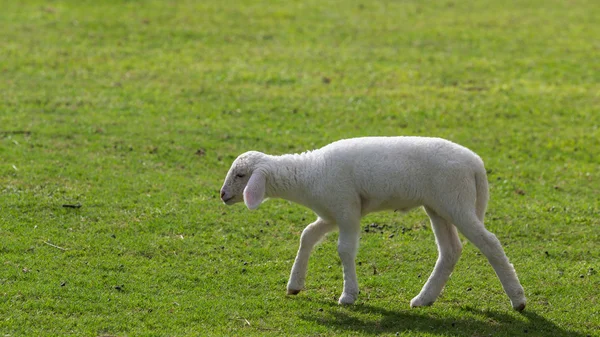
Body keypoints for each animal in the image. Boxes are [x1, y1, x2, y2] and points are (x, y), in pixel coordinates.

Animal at [219, 136, 524, 310]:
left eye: (240, 175)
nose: (222, 195)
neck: (308, 174)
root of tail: (476, 164)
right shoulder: (332, 213)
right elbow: (307, 236)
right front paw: (295, 284)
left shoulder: (346, 210)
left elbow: (344, 251)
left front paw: (348, 296)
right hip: (439, 206)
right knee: (450, 251)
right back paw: (424, 299)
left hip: (456, 201)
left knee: (490, 243)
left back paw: (518, 299)